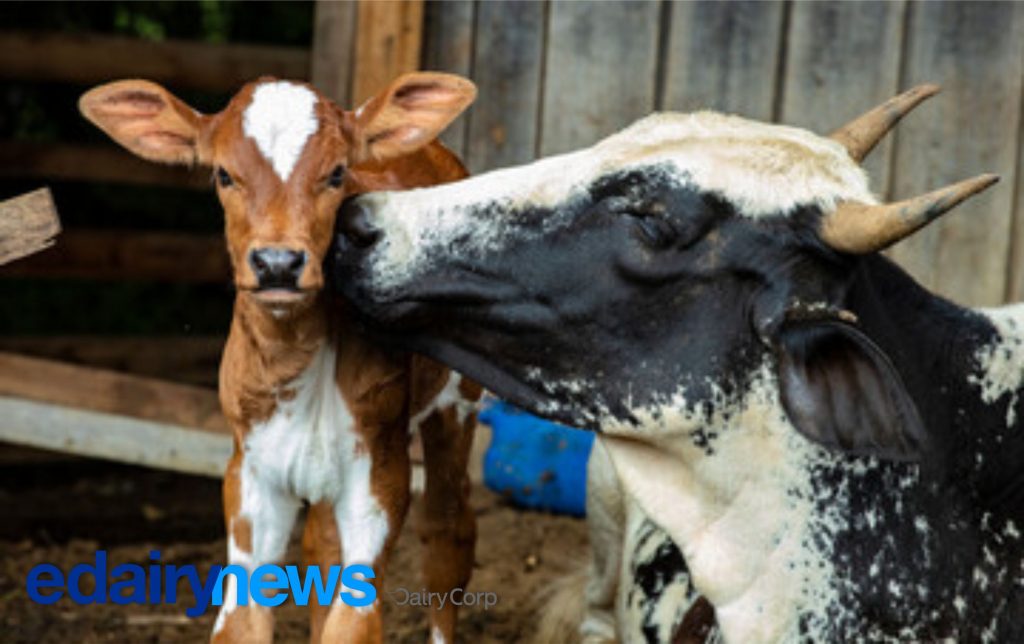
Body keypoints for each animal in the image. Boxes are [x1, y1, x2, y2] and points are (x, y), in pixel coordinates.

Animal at [79, 72, 479, 638]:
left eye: (336, 173)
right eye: (223, 174)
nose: (277, 263)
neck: (295, 362)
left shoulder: (379, 471)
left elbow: (352, 621)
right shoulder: (249, 475)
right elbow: (242, 621)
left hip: (456, 403)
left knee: (448, 531)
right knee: (321, 547)